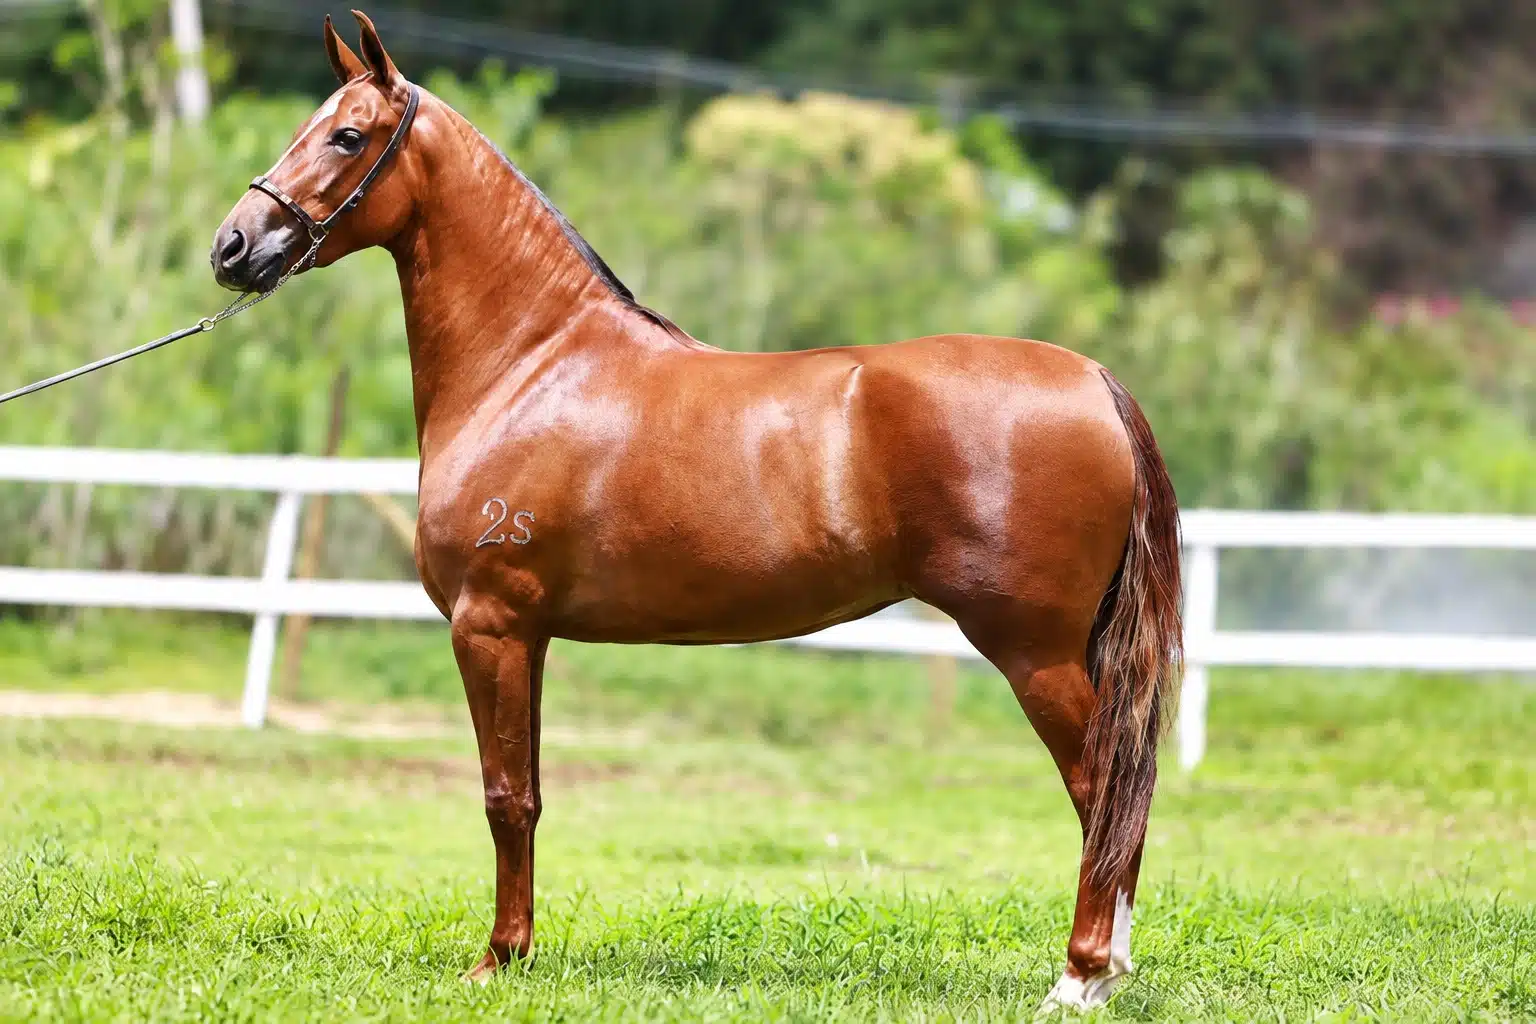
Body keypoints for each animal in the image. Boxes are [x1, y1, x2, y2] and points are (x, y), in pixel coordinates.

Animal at [210, 12, 1183, 1013]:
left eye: (346, 136)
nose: (233, 248)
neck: (533, 363)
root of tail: (1093, 380)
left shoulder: (491, 624)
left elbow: (503, 798)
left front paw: (500, 959)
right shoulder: (532, 634)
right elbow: (531, 791)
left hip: (1036, 651)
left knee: (1103, 789)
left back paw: (1079, 978)